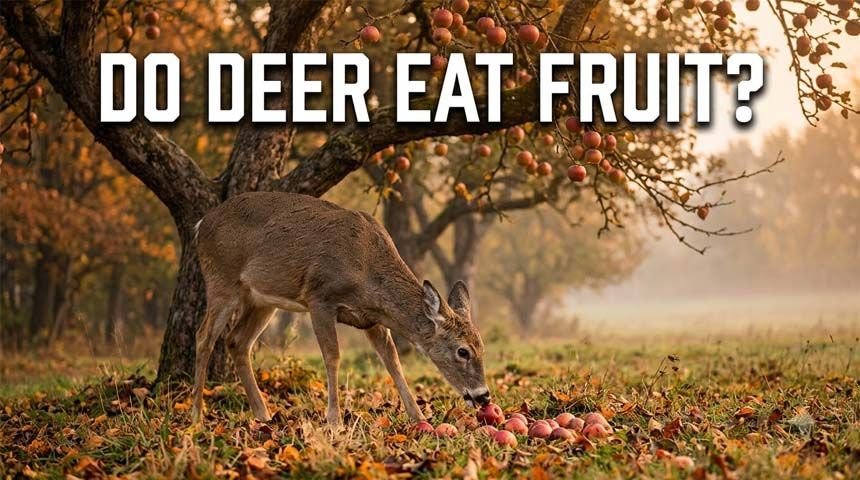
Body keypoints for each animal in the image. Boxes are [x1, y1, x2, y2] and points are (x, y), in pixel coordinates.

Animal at [190, 191, 490, 426]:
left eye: (482, 347)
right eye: (463, 351)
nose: (484, 395)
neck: (366, 270)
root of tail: (201, 224)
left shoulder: (372, 319)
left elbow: (392, 360)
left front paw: (418, 417)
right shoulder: (320, 297)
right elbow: (333, 356)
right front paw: (334, 420)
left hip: (262, 300)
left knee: (237, 341)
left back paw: (263, 414)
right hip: (222, 280)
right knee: (204, 337)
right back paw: (196, 415)